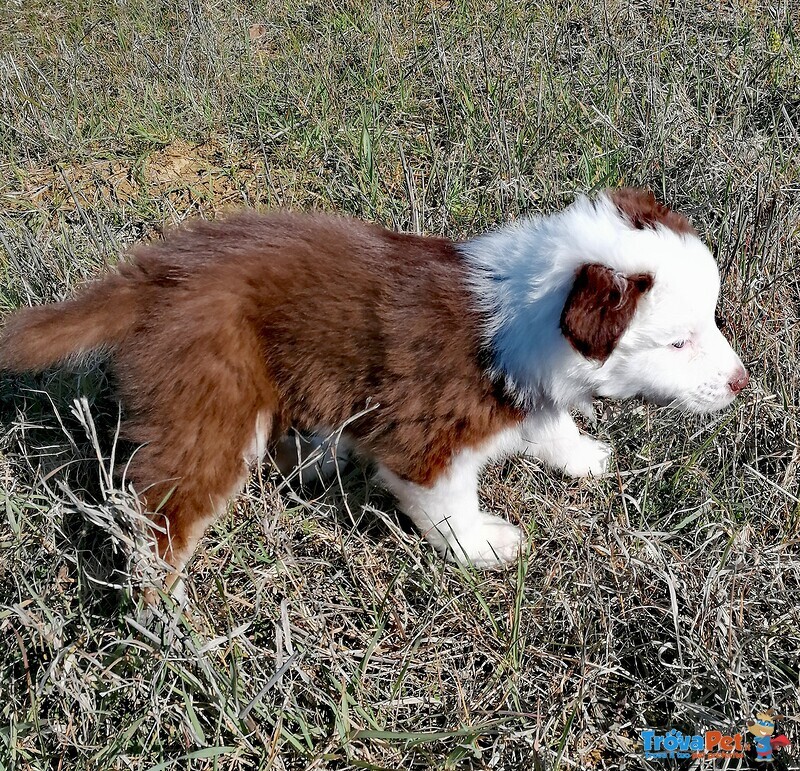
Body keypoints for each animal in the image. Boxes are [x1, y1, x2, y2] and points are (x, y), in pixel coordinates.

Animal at [1, 190, 752, 580]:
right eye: (678, 341)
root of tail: (154, 273)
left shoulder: (525, 394)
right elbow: (445, 505)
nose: (742, 383)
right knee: (160, 517)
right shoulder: (425, 438)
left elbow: (552, 426)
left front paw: (585, 458)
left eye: (709, 321)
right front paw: (485, 548)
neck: (527, 310)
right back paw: (169, 625)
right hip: (210, 403)